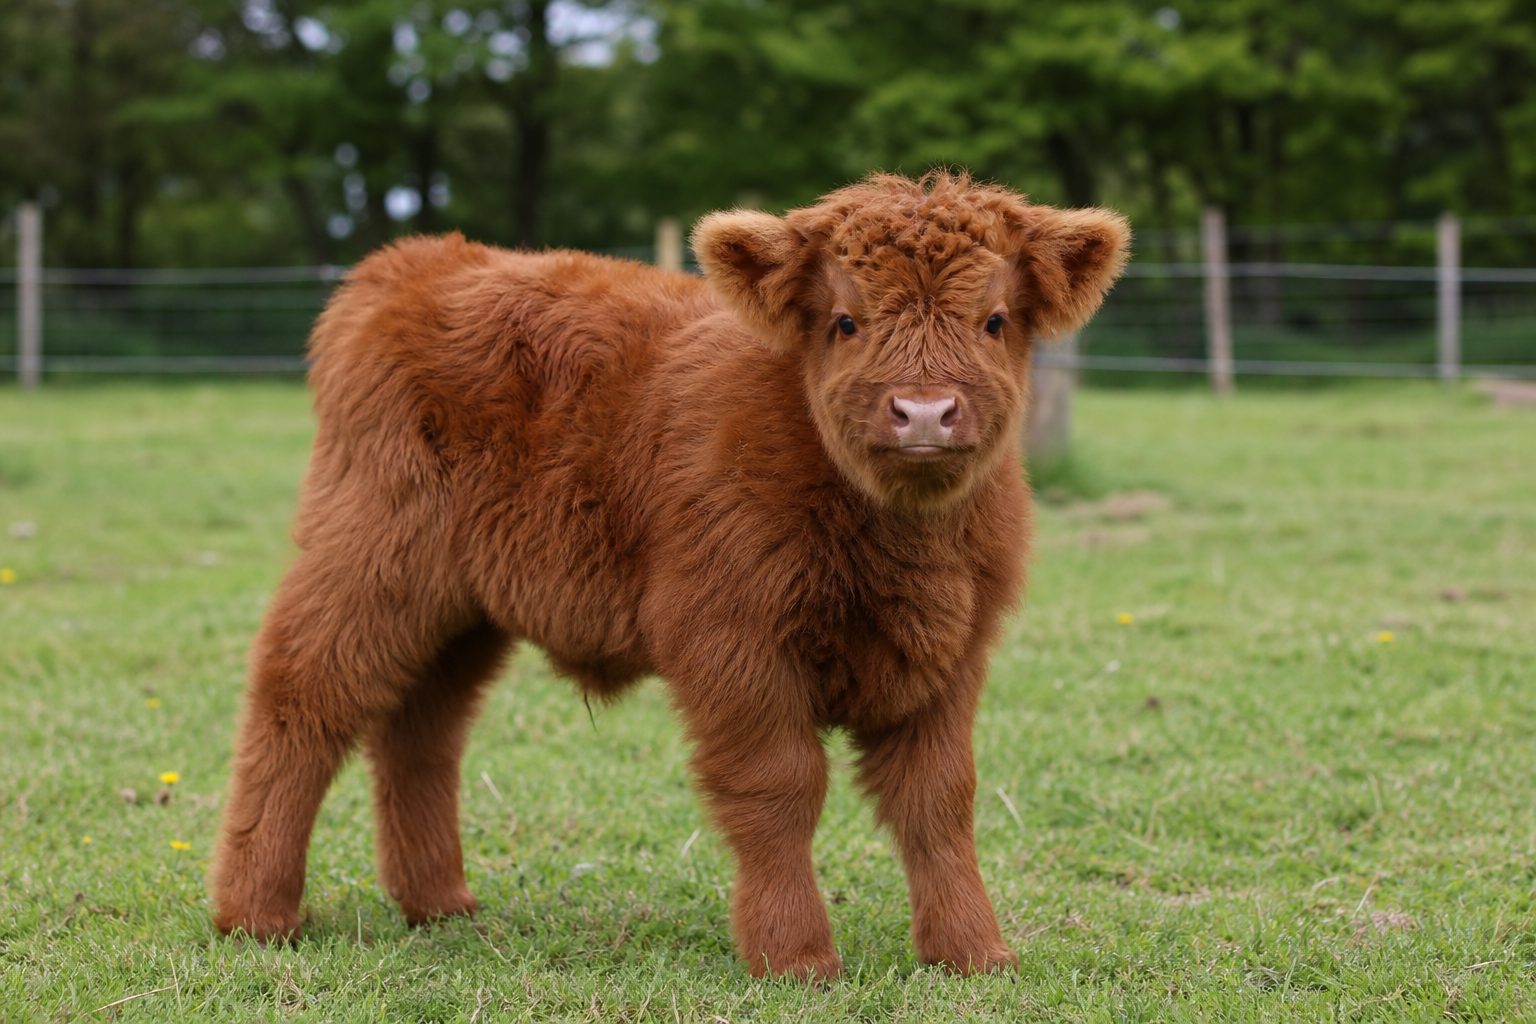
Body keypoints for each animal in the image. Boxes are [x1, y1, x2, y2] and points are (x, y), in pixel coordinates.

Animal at [211, 171, 1129, 980]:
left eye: (995, 319)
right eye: (844, 320)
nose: (926, 412)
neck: (902, 543)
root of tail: (420, 260)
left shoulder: (952, 654)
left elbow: (939, 802)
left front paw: (973, 952)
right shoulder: (731, 639)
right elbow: (779, 785)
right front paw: (795, 956)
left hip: (463, 608)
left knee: (420, 731)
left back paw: (439, 904)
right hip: (369, 562)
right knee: (303, 702)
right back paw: (256, 914)